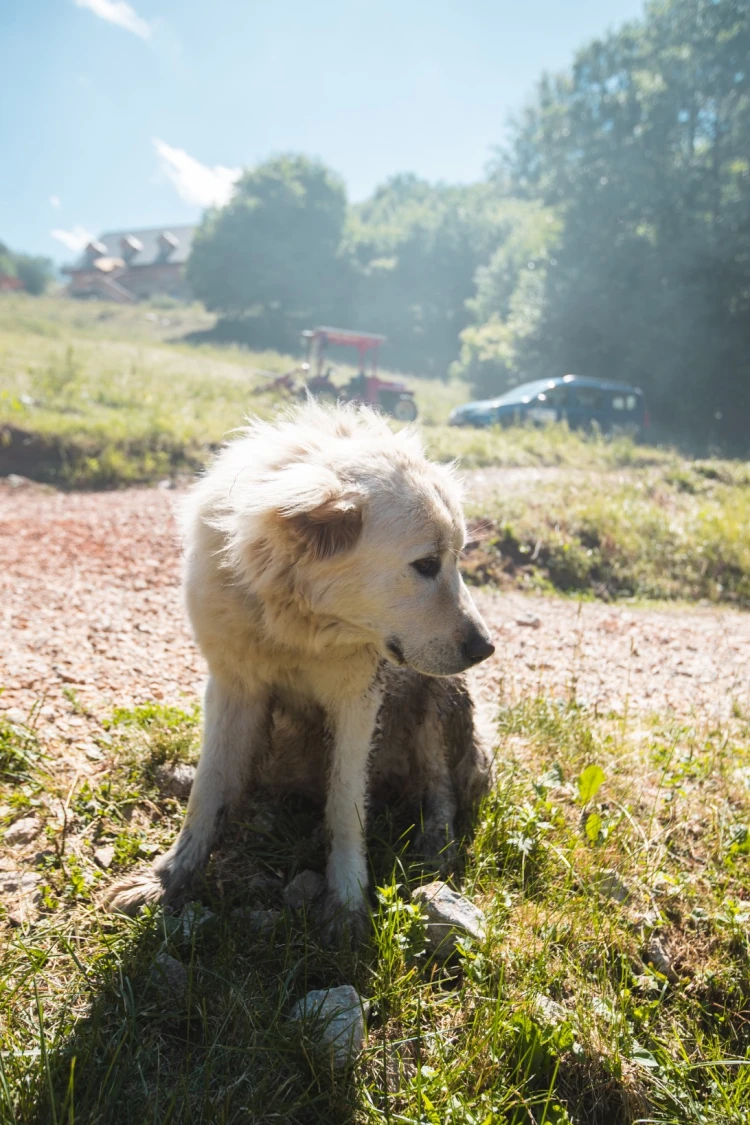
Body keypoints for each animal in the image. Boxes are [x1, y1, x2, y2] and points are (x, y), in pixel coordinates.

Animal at [105, 405, 492, 940]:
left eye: (457, 559)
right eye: (427, 563)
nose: (486, 647)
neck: (298, 622)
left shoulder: (358, 698)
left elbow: (346, 804)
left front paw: (347, 904)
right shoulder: (232, 685)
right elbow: (209, 788)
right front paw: (170, 877)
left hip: (438, 692)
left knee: (440, 787)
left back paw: (435, 843)